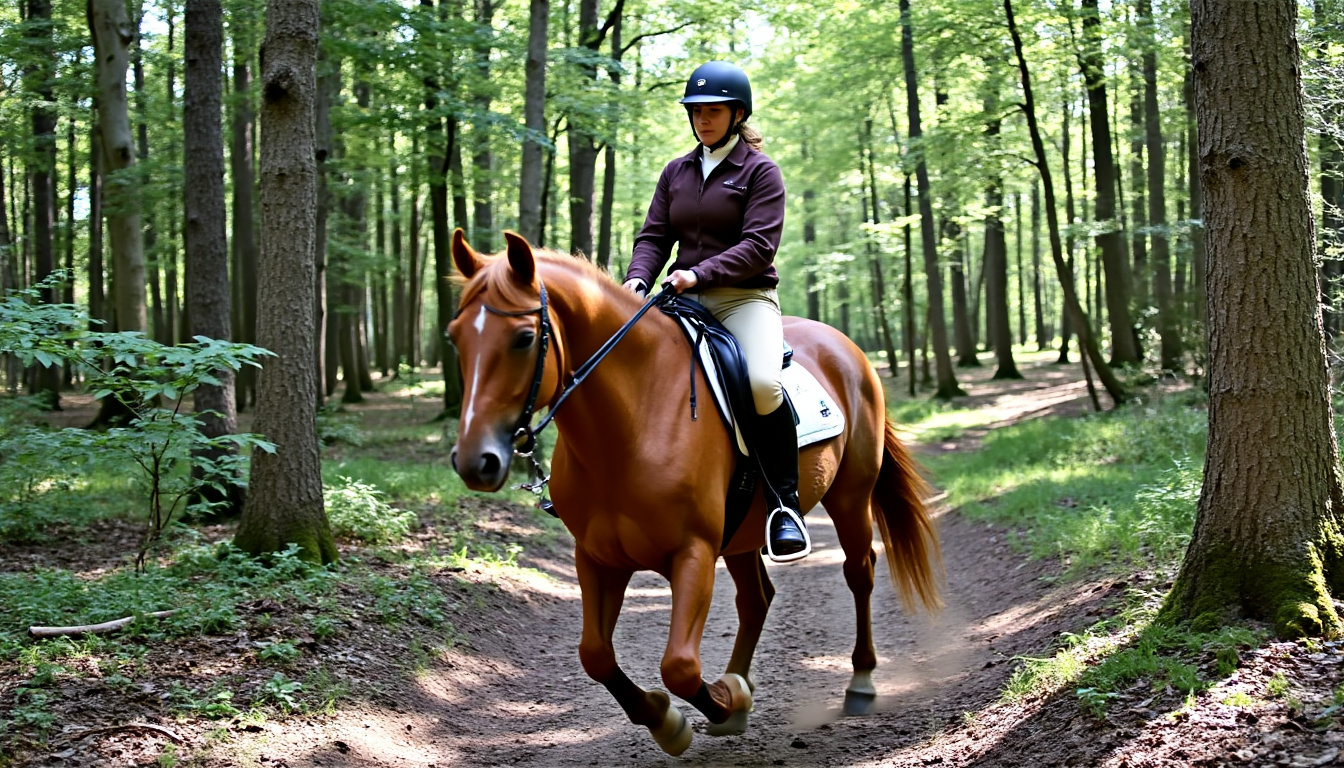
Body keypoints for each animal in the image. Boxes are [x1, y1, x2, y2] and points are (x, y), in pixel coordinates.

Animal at [447, 229, 942, 756]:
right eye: (455, 337)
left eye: (524, 339)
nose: (475, 461)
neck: (634, 420)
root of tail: (847, 349)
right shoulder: (597, 557)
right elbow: (595, 655)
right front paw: (673, 714)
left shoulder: (694, 553)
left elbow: (680, 667)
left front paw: (719, 702)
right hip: (746, 532)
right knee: (756, 599)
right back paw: (740, 681)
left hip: (850, 495)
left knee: (859, 572)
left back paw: (859, 683)